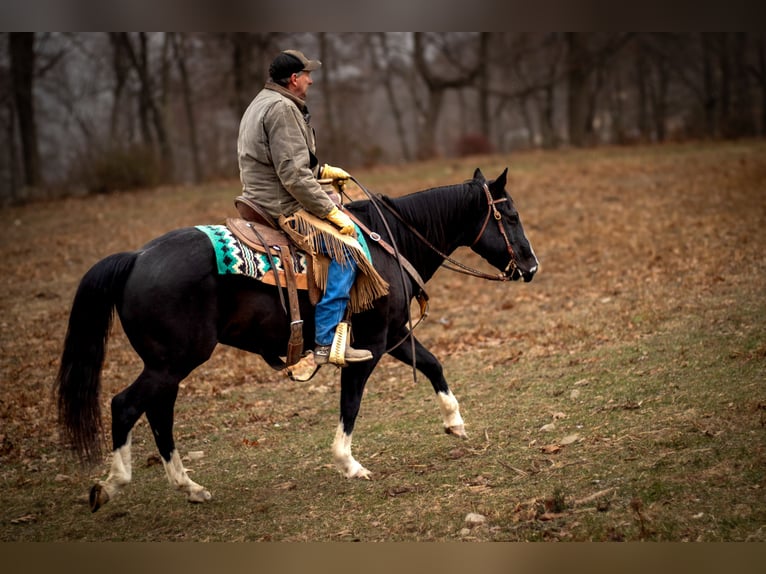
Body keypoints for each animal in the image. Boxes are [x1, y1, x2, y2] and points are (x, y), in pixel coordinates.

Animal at [55, 168, 540, 512]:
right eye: (511, 216)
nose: (532, 266)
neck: (391, 243)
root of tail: (136, 258)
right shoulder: (369, 345)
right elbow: (351, 402)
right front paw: (348, 463)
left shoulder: (395, 334)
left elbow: (434, 363)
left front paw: (455, 422)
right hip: (172, 362)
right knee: (126, 405)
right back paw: (113, 484)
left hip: (169, 365)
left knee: (159, 413)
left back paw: (189, 486)